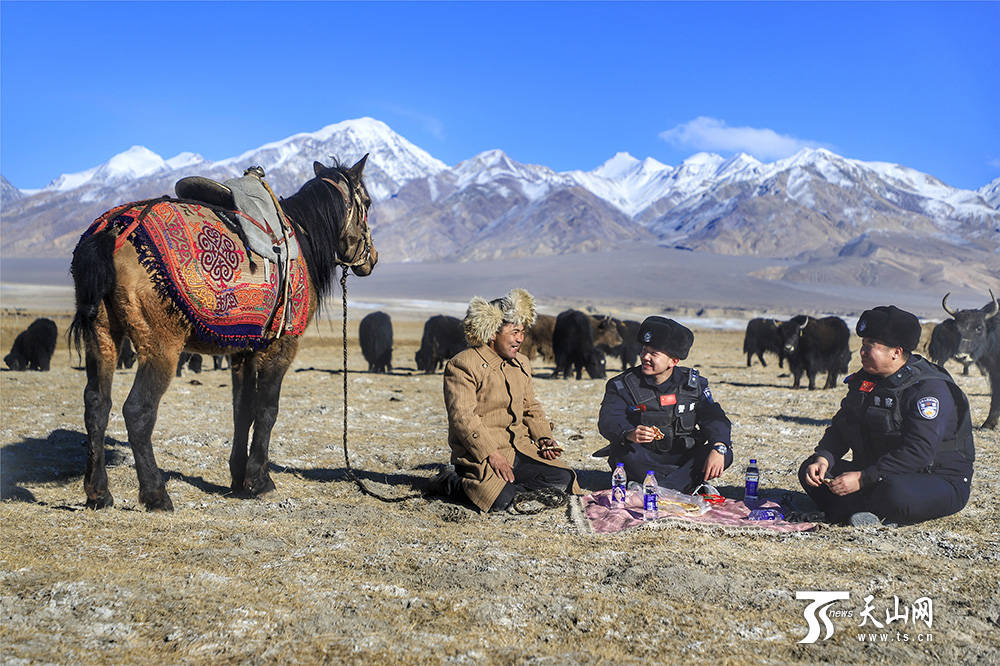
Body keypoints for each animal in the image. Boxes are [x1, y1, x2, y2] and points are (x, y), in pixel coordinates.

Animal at [68, 156, 376, 508]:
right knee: (137, 411)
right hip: (160, 347)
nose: (372, 258)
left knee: (96, 404)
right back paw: (157, 495)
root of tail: (111, 229)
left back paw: (99, 492)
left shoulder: (243, 351)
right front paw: (260, 482)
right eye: (367, 203)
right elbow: (267, 410)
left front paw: (239, 478)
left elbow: (242, 411)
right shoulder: (281, 347)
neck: (303, 238)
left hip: (103, 335)